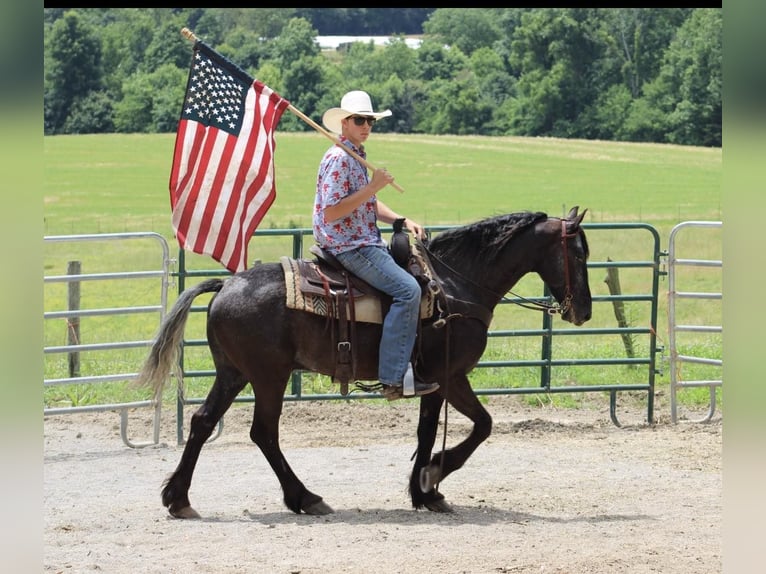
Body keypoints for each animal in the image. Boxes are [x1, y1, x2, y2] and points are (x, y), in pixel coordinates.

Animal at [136, 206, 592, 516]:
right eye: (580, 254)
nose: (584, 311)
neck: (454, 287)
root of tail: (227, 284)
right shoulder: (450, 376)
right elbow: (481, 425)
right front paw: (433, 477)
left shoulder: (432, 381)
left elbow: (429, 432)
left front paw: (423, 491)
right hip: (268, 377)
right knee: (263, 432)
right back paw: (306, 497)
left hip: (233, 374)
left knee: (203, 423)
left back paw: (178, 498)